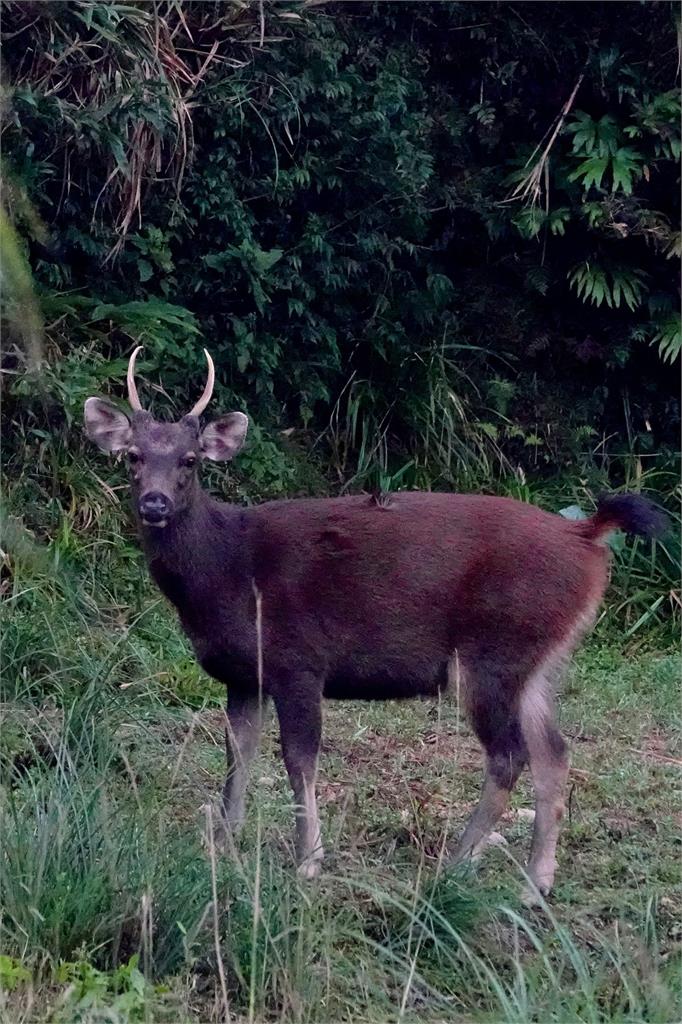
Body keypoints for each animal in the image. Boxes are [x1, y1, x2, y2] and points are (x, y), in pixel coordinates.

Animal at [83, 348, 663, 901]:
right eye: (133, 456)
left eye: (189, 460)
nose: (154, 501)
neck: (229, 570)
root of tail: (587, 538)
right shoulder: (243, 674)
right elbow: (237, 755)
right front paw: (224, 843)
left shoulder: (298, 659)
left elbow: (299, 760)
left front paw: (309, 859)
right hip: (537, 661)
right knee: (554, 754)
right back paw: (535, 882)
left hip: (493, 650)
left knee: (509, 756)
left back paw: (458, 865)